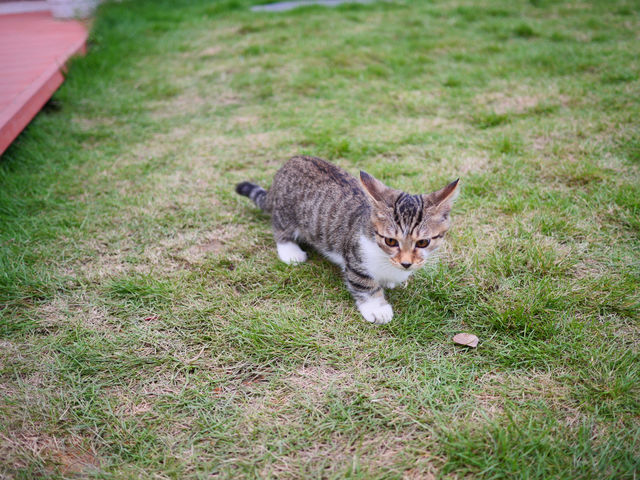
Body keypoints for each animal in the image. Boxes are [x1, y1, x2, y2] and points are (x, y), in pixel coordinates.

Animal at [238, 156, 458, 324]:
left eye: (423, 243)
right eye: (391, 241)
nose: (406, 263)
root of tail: (288, 164)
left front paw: (391, 280)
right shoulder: (355, 255)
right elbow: (364, 283)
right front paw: (377, 308)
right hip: (286, 212)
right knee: (280, 229)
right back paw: (289, 251)